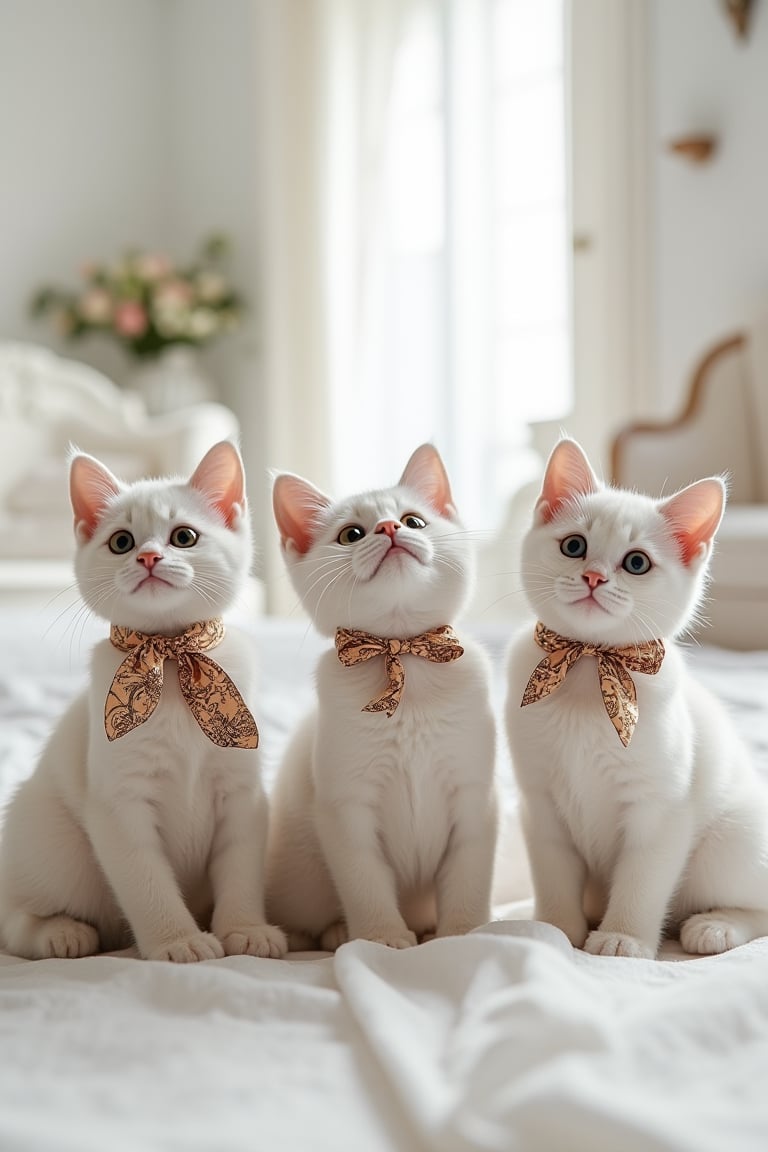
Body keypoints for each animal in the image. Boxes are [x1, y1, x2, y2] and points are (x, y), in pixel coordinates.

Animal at [0, 440, 286, 963]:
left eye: (184, 536)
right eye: (121, 542)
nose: (149, 557)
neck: (171, 662)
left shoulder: (242, 794)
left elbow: (240, 868)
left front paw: (245, 928)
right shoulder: (119, 803)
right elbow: (145, 879)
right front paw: (177, 939)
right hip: (51, 841)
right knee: (14, 919)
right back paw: (58, 932)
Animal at [267, 444, 502, 949]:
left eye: (414, 520)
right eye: (351, 534)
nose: (390, 528)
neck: (405, 658)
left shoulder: (475, 795)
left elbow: (469, 873)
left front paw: (462, 932)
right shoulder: (344, 806)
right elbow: (364, 877)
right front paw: (382, 937)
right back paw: (335, 931)